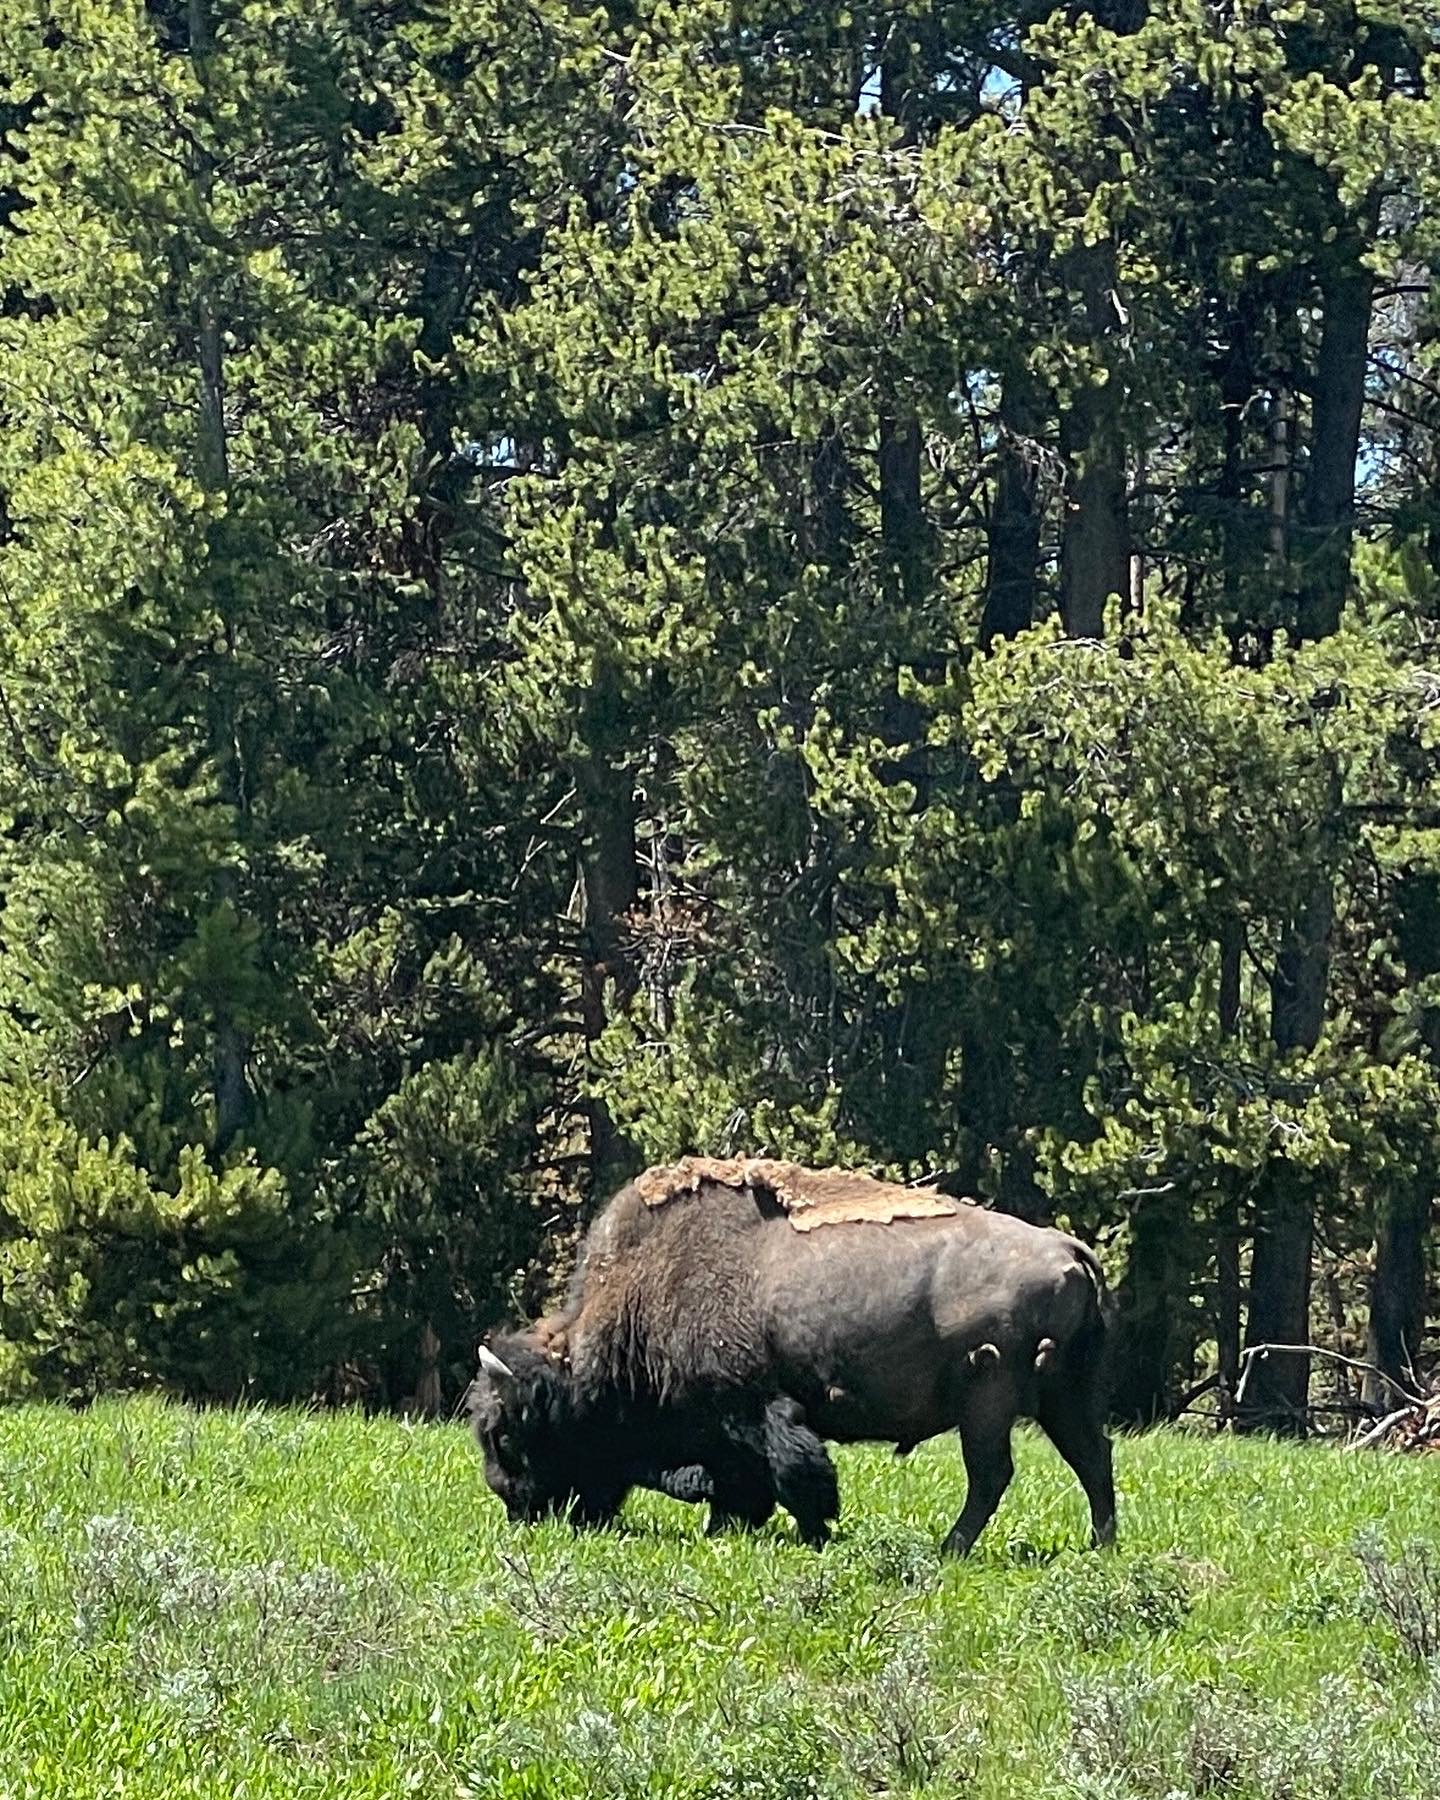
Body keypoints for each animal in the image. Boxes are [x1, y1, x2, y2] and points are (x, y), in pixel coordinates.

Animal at [468, 1159, 1116, 1555]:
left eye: (506, 1436)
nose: (517, 1509)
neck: (646, 1290)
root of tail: (1067, 1247)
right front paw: (730, 1529)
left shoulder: (754, 1409)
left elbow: (793, 1471)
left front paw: (815, 1530)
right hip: (1061, 1397)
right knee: (1091, 1458)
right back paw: (1100, 1545)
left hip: (989, 1399)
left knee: (992, 1474)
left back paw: (951, 1549)